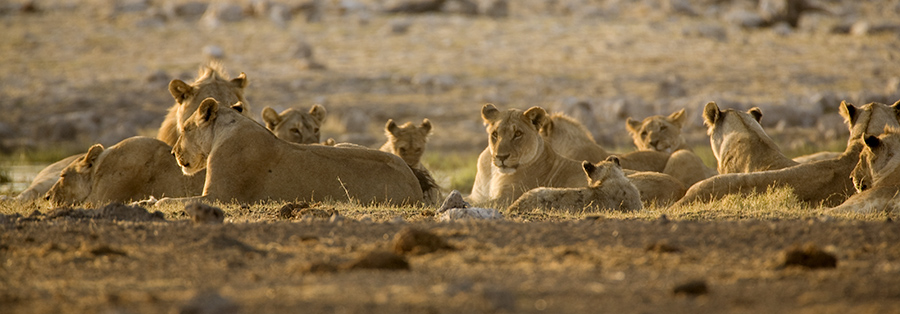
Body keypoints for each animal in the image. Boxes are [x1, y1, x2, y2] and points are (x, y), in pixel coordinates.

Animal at [159, 98, 426, 206]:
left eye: (185, 128)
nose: (173, 153)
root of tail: (415, 184)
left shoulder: (222, 196)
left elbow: (168, 199)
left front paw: (152, 200)